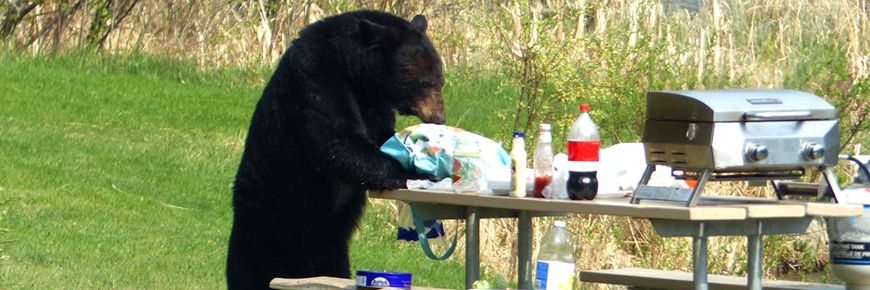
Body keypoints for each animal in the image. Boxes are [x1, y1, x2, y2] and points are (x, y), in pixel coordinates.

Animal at [228, 10, 446, 288]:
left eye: (441, 80)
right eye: (426, 81)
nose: (439, 118)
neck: (354, 74)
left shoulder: (377, 103)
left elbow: (382, 137)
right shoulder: (316, 78)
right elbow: (336, 143)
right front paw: (422, 173)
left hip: (332, 248)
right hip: (268, 228)